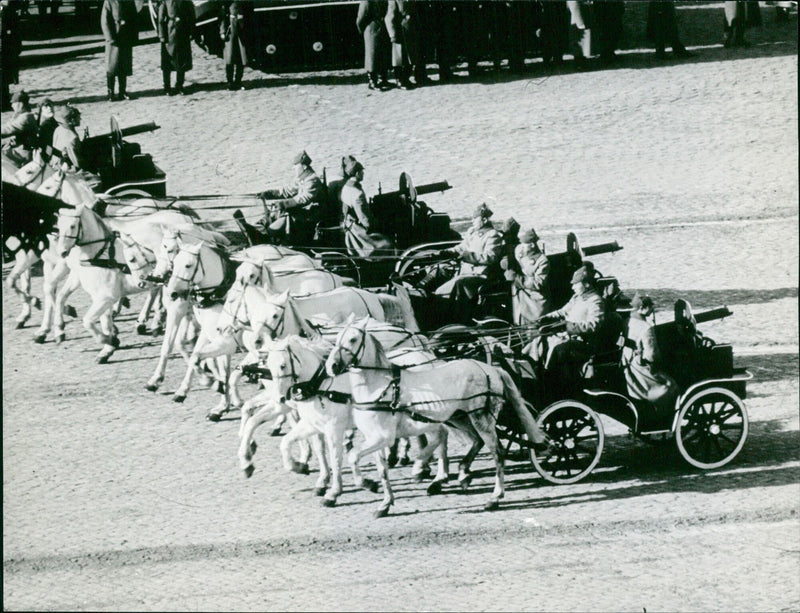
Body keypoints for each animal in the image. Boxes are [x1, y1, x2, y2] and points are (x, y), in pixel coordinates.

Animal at [324, 318, 552, 512]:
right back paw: (462, 474)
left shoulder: (383, 437)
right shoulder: (376, 438)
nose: (331, 366)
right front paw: (385, 503)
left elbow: (353, 456)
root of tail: (491, 369)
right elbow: (382, 470)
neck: (380, 387)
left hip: (481, 419)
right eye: (337, 338)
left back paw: (494, 497)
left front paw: (368, 483)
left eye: (353, 339)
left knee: (498, 453)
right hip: (460, 418)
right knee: (476, 441)